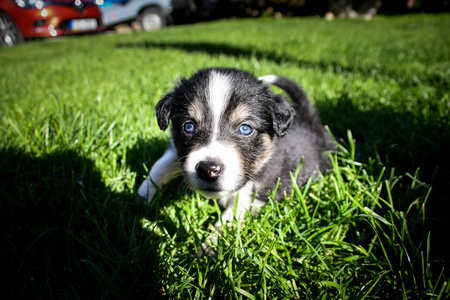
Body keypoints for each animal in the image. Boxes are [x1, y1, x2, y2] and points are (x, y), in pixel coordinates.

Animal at [139, 68, 332, 253]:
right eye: (189, 126)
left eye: (245, 128)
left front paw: (207, 250)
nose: (208, 170)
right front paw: (142, 196)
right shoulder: (180, 154)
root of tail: (309, 121)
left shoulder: (249, 197)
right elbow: (162, 165)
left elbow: (226, 222)